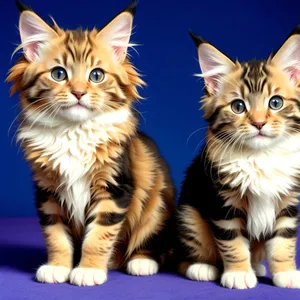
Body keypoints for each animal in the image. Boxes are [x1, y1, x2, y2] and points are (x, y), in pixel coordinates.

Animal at [6, 0, 176, 286]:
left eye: (96, 75)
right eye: (59, 74)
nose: (78, 92)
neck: (72, 132)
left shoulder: (114, 187)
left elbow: (98, 237)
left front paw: (89, 270)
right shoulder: (48, 191)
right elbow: (56, 236)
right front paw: (57, 267)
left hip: (157, 202)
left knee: (153, 242)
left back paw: (141, 261)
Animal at [175, 29, 300, 288]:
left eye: (275, 102)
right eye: (238, 106)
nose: (259, 123)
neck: (260, 156)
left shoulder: (287, 203)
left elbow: (284, 242)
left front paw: (286, 273)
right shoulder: (223, 203)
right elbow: (233, 243)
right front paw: (238, 274)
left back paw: (258, 267)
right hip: (189, 214)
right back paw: (201, 267)